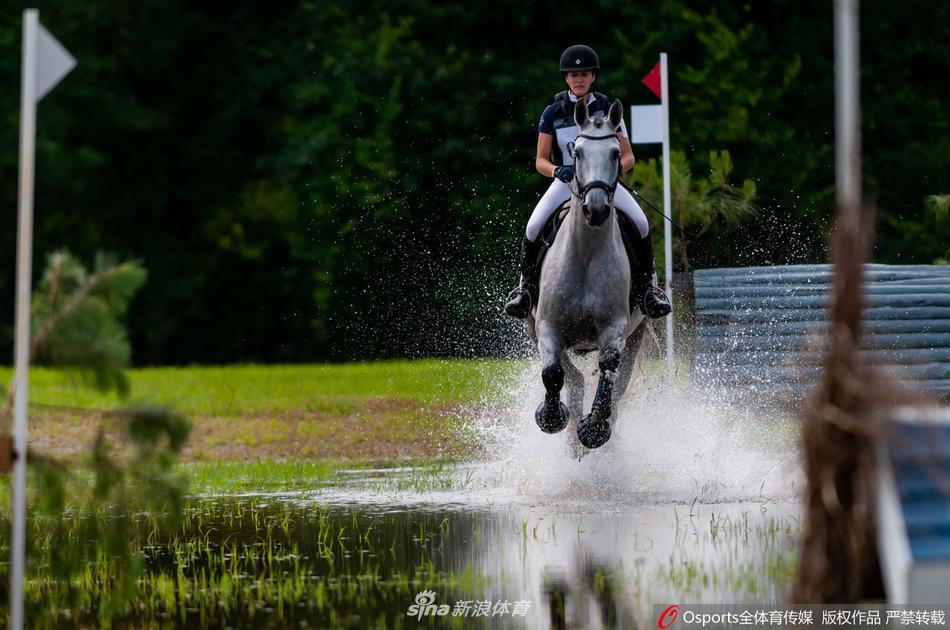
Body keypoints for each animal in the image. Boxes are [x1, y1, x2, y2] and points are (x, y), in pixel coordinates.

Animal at [524, 97, 652, 454]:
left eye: (615, 153)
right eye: (577, 152)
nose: (595, 210)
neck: (586, 254)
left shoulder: (616, 329)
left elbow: (608, 371)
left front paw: (594, 429)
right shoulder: (547, 326)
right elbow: (553, 373)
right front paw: (551, 418)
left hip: (636, 334)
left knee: (617, 389)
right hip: (532, 327)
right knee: (574, 379)